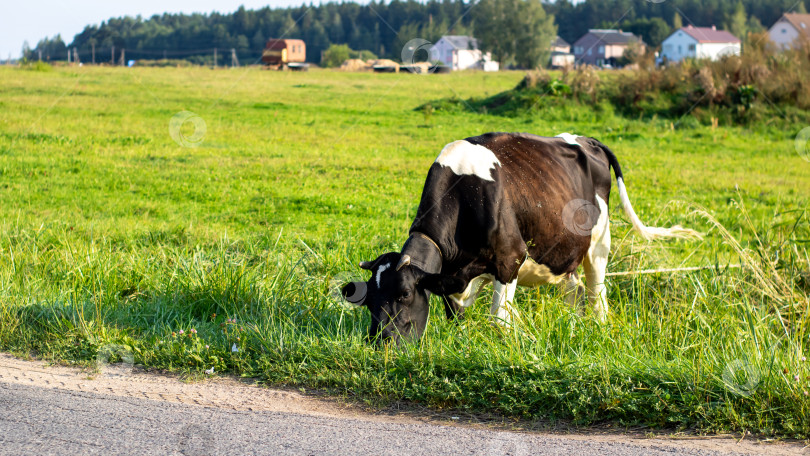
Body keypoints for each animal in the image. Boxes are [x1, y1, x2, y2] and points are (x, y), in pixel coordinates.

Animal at [340, 134, 696, 344]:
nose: (379, 343)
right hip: (564, 252)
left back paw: (600, 328)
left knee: (598, 292)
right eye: (368, 300)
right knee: (575, 291)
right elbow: (457, 316)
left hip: (599, 242)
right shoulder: (454, 276)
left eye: (404, 294)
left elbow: (499, 320)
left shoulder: (509, 258)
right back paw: (572, 328)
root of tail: (586, 139)